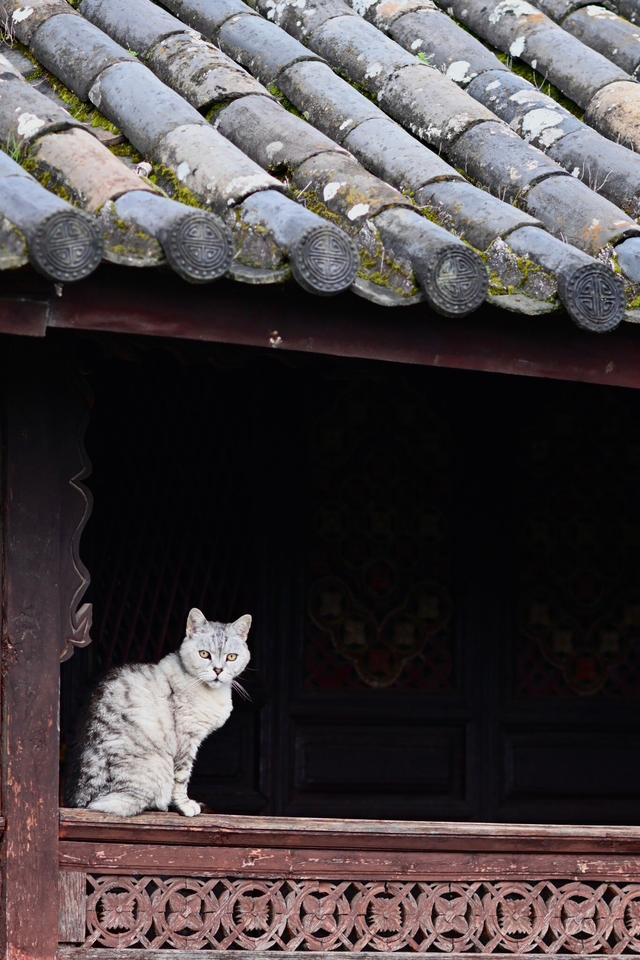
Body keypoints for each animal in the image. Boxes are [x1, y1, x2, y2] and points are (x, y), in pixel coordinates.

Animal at [66, 612, 251, 812]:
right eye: (204, 654)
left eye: (231, 657)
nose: (218, 670)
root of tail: (82, 802)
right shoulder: (186, 740)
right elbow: (182, 777)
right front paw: (185, 806)